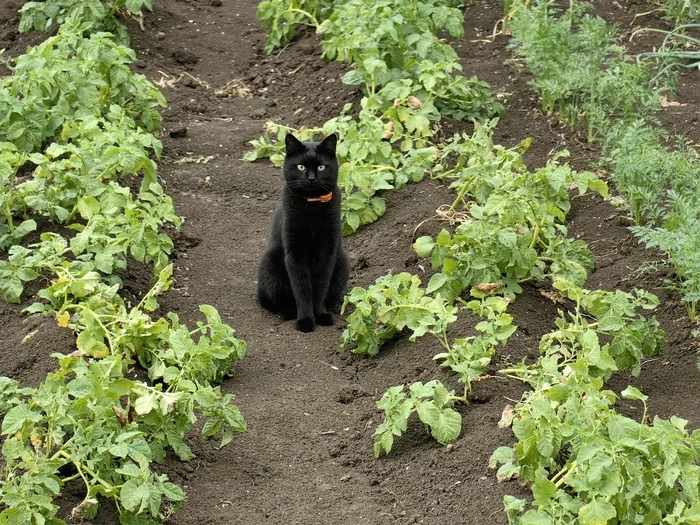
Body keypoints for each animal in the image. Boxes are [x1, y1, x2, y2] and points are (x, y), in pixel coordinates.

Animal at [256, 134, 348, 332]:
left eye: (321, 167)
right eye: (300, 167)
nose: (311, 178)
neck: (312, 206)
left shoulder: (327, 251)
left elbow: (320, 286)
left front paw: (320, 315)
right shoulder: (295, 252)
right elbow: (302, 288)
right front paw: (305, 320)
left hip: (343, 263)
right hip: (269, 265)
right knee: (275, 301)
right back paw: (289, 313)